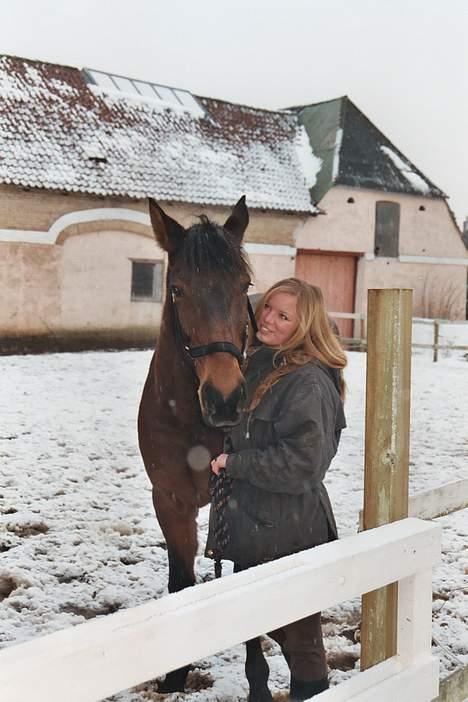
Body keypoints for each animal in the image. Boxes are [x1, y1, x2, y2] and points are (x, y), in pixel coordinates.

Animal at [139, 198, 270, 700]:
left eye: (243, 285)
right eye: (177, 289)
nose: (225, 399)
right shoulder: (170, 500)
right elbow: (181, 581)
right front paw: (175, 675)